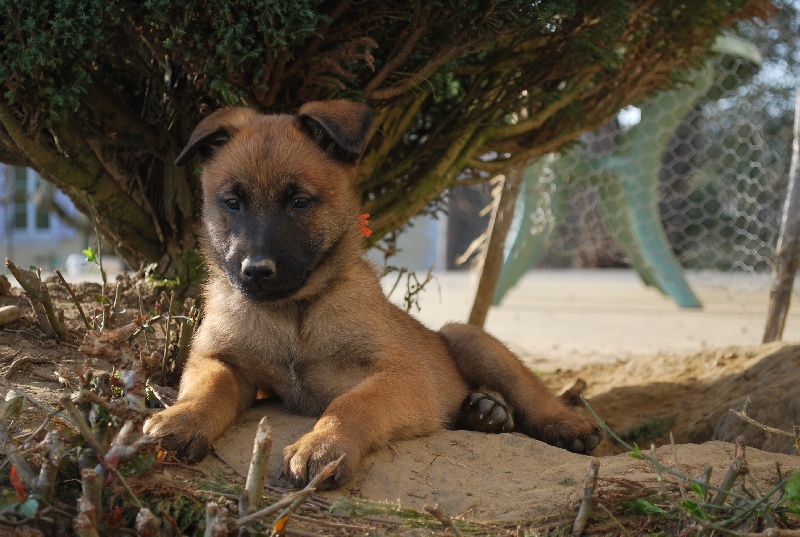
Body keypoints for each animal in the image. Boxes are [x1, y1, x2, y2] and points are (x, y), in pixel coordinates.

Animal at [143, 101, 603, 488]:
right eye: (232, 202)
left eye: (299, 201)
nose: (255, 271)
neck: (294, 314)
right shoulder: (222, 361)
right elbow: (210, 386)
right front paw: (183, 417)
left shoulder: (401, 375)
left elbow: (352, 403)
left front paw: (323, 446)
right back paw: (485, 411)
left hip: (468, 336)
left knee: (533, 393)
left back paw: (562, 424)